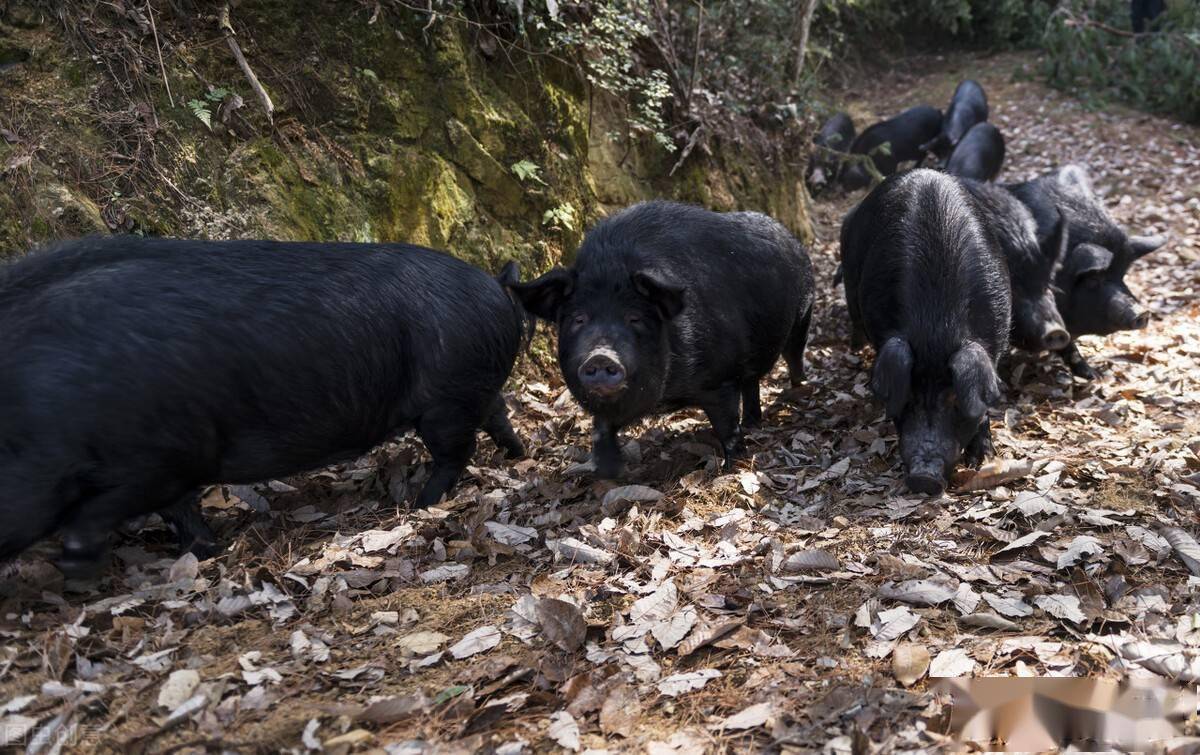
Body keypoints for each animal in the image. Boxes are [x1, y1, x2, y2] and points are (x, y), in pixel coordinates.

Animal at [0, 235, 525, 571]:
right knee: (497, 414)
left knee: (457, 451)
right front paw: (202, 551)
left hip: (448, 396)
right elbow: (178, 511)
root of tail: (493, 285)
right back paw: (515, 456)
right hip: (469, 387)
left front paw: (74, 568)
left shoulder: (161, 457)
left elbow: (107, 511)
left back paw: (421, 502)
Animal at [511, 200, 811, 477]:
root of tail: (793, 240)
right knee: (752, 383)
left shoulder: (720, 379)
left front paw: (731, 467)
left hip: (802, 317)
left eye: (634, 318)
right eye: (579, 319)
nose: (601, 355)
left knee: (793, 358)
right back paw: (753, 422)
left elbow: (726, 425)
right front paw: (610, 473)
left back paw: (799, 391)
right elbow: (601, 431)